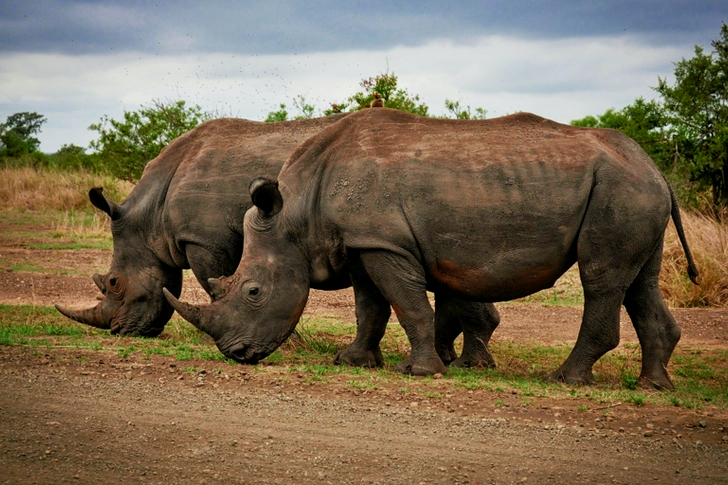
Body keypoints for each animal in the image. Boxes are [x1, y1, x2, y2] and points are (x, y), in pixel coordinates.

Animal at [55, 114, 499, 368]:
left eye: (114, 283)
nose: (118, 330)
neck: (150, 216)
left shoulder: (204, 240)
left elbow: (216, 284)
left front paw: (286, 342)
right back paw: (455, 359)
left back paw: (461, 361)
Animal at [165, 108, 699, 389]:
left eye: (253, 291)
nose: (236, 353)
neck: (297, 213)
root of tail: (656, 169)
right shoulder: (363, 243)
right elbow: (370, 307)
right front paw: (352, 361)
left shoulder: (386, 244)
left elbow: (407, 304)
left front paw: (420, 371)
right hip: (631, 191)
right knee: (638, 281)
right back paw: (653, 385)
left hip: (620, 191)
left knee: (600, 277)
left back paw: (565, 379)